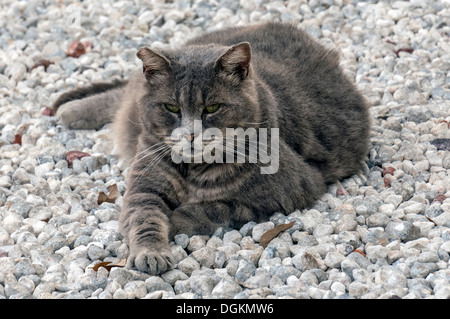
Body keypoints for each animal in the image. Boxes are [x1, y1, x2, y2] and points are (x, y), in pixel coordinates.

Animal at [51, 21, 370, 276]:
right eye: (172, 108)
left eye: (212, 108)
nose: (191, 134)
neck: (191, 168)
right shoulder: (144, 187)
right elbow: (145, 218)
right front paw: (151, 253)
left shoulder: (285, 192)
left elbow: (216, 207)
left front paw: (176, 218)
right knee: (123, 94)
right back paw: (69, 110)